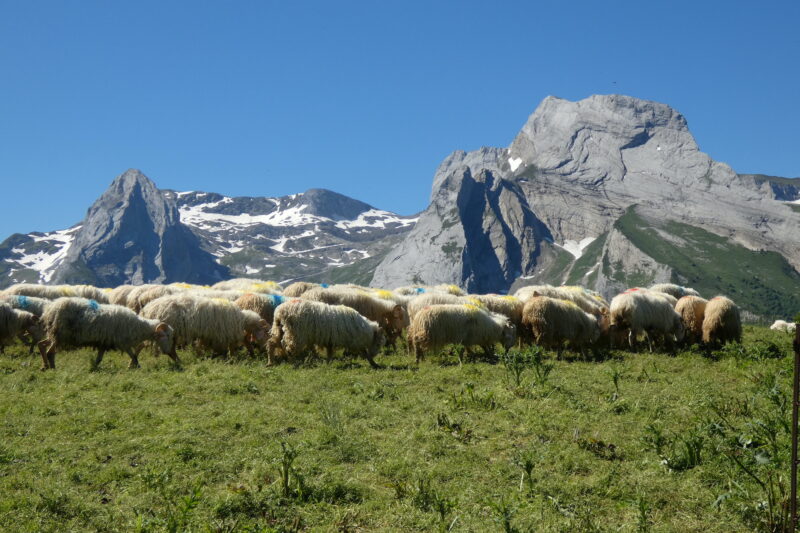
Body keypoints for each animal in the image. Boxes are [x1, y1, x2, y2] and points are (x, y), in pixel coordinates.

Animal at [39, 296, 177, 370]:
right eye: (168, 336)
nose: (168, 351)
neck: (138, 327)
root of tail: (49, 309)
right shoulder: (123, 342)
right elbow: (133, 356)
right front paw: (138, 367)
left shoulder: (104, 342)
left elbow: (99, 358)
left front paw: (94, 368)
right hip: (60, 334)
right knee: (50, 351)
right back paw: (52, 367)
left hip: (55, 334)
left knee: (41, 344)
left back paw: (45, 366)